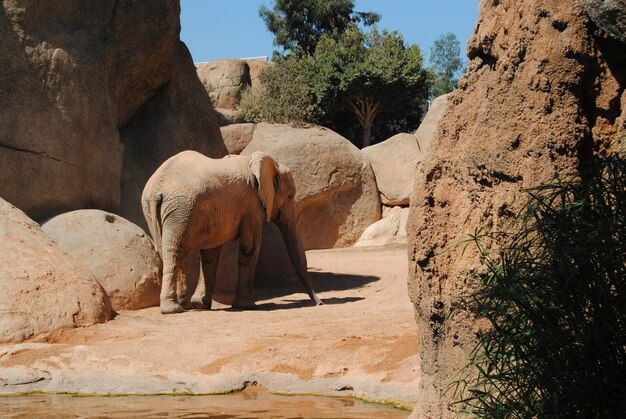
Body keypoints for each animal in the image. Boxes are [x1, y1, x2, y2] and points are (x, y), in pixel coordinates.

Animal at [141, 151, 322, 316]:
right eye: (290, 196)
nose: (319, 303)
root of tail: (158, 189)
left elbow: (210, 254)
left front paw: (201, 304)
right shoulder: (252, 204)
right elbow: (250, 248)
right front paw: (247, 306)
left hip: (159, 210)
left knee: (168, 253)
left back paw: (181, 305)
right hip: (180, 210)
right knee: (175, 252)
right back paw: (173, 309)